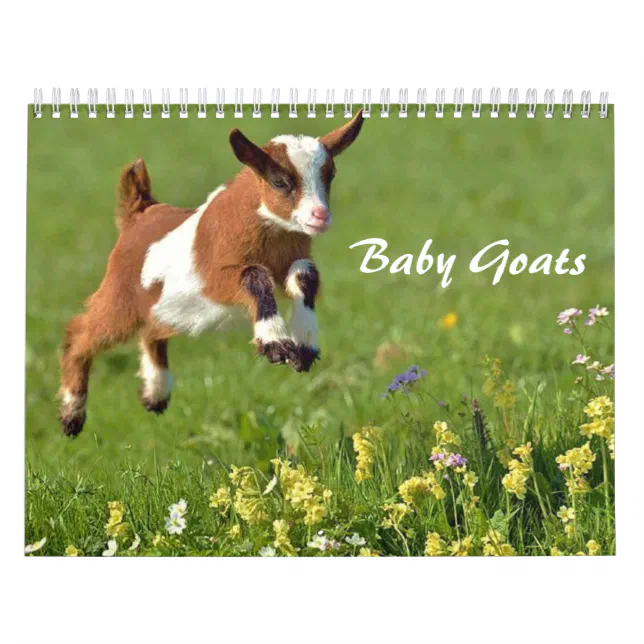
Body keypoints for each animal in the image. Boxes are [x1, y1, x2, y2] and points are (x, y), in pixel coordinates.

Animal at [58, 111, 364, 436]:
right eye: (280, 182)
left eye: (330, 175)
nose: (320, 216)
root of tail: (138, 212)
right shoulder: (215, 278)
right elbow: (254, 275)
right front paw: (274, 343)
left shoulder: (292, 259)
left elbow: (305, 273)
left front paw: (304, 346)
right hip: (120, 297)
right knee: (80, 332)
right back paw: (72, 414)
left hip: (162, 306)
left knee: (151, 332)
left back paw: (155, 394)